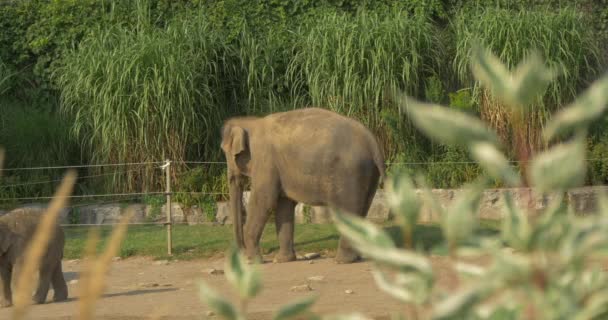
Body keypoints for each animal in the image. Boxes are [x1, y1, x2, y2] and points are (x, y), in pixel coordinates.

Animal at [221, 107, 384, 262]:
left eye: (227, 153)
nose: (241, 252)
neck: (252, 122)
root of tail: (372, 141)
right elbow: (284, 206)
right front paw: (282, 260)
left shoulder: (265, 160)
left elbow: (264, 200)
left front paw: (252, 261)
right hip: (368, 173)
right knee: (362, 209)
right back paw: (354, 259)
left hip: (350, 173)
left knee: (346, 212)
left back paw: (342, 261)